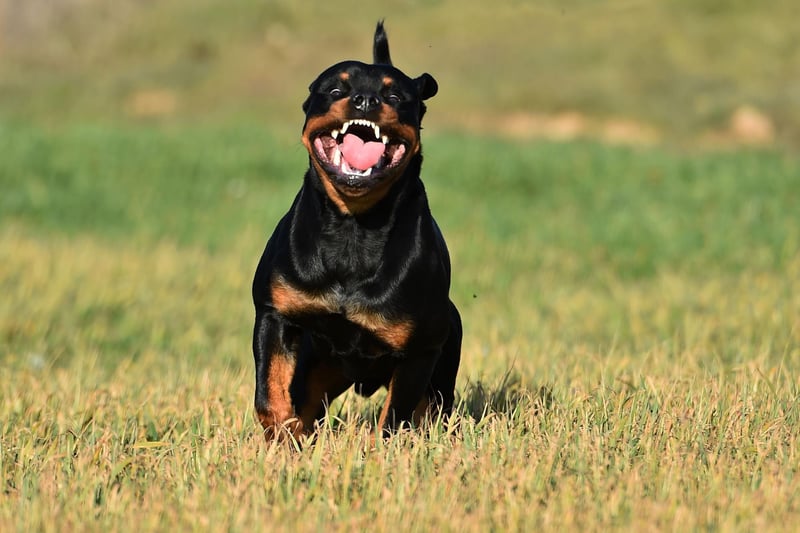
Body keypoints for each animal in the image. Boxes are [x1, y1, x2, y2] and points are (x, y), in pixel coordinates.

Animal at [250, 21, 462, 440]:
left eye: (395, 95)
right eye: (335, 90)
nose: (365, 100)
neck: (354, 227)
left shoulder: (421, 350)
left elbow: (394, 419)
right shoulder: (273, 313)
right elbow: (270, 394)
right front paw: (285, 436)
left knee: (432, 409)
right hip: (319, 365)